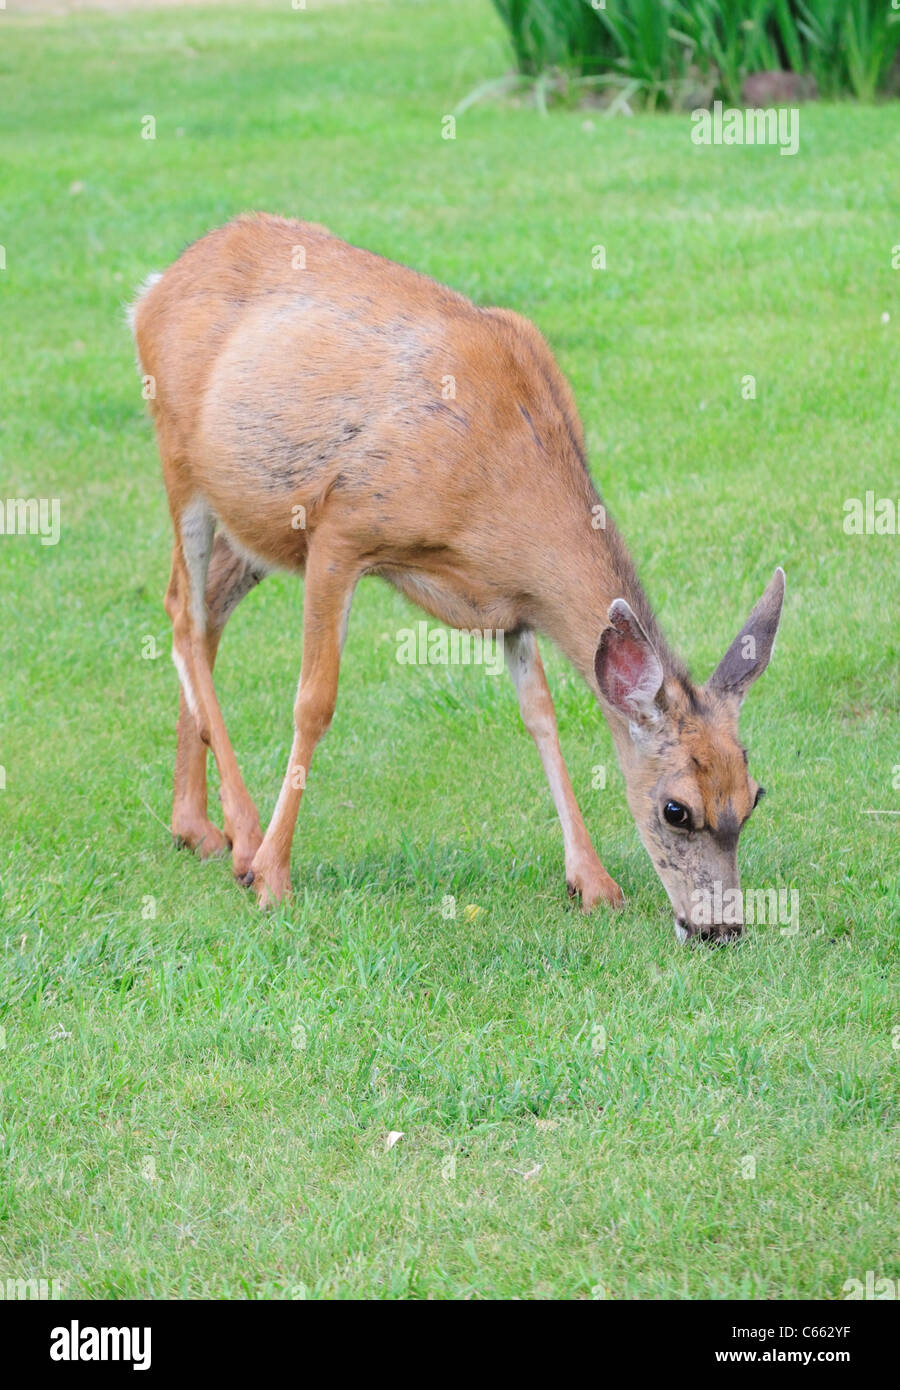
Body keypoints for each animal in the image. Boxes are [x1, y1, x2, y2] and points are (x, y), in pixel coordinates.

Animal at [130, 214, 784, 945]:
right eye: (677, 809)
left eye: (752, 797)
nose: (721, 928)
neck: (498, 484)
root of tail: (154, 287)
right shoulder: (342, 526)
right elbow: (314, 702)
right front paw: (273, 876)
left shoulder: (513, 604)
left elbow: (541, 714)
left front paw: (593, 882)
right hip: (181, 458)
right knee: (183, 614)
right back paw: (242, 838)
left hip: (255, 520)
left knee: (204, 607)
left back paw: (194, 826)